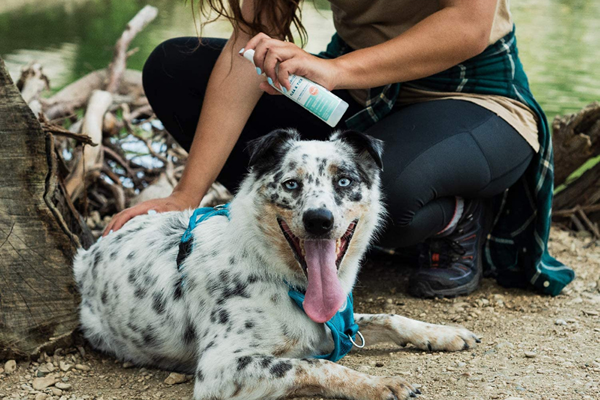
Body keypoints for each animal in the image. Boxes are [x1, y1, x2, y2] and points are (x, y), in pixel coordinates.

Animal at [74, 130, 478, 398]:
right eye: (291, 184)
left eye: (344, 181)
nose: (319, 220)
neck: (281, 279)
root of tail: (85, 257)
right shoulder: (220, 369)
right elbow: (317, 363)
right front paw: (379, 384)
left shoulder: (339, 323)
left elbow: (389, 317)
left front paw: (443, 333)